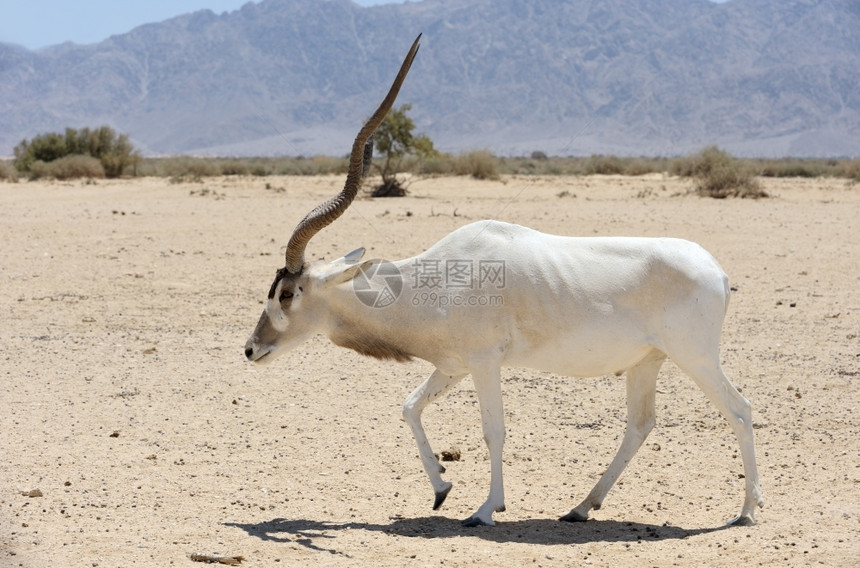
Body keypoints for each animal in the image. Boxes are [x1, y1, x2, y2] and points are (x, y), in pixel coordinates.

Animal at [244, 36, 764, 528]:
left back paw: (746, 511)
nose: (250, 349)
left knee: (739, 410)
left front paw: (485, 509)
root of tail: (716, 270)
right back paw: (580, 507)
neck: (429, 281)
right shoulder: (452, 365)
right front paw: (441, 487)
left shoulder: (483, 361)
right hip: (646, 362)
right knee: (640, 425)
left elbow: (494, 430)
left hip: (694, 355)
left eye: (287, 293)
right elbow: (410, 406)